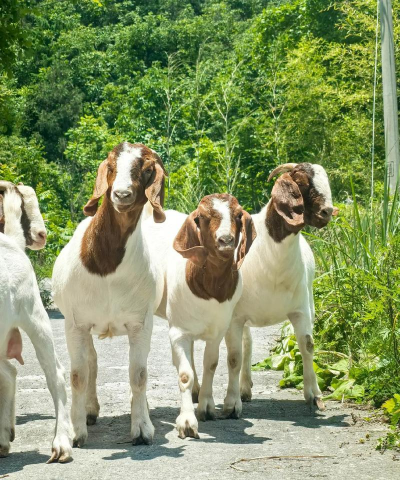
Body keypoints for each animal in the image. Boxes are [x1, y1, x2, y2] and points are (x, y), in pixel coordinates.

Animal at [52, 142, 167, 447]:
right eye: (112, 167)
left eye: (147, 169)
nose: (122, 194)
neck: (106, 268)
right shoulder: (75, 323)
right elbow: (78, 375)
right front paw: (76, 431)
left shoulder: (140, 322)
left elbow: (139, 374)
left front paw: (142, 428)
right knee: (91, 361)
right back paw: (89, 410)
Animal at [144, 194, 256, 438]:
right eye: (202, 217)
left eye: (237, 215)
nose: (226, 240)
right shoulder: (178, 332)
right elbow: (184, 374)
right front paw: (186, 422)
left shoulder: (217, 330)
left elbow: (211, 364)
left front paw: (206, 406)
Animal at [222, 163, 338, 418]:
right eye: (302, 183)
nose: (327, 212)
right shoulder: (234, 317)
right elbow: (234, 357)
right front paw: (232, 404)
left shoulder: (301, 310)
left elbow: (307, 346)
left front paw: (315, 395)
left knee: (248, 344)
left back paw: (246, 388)